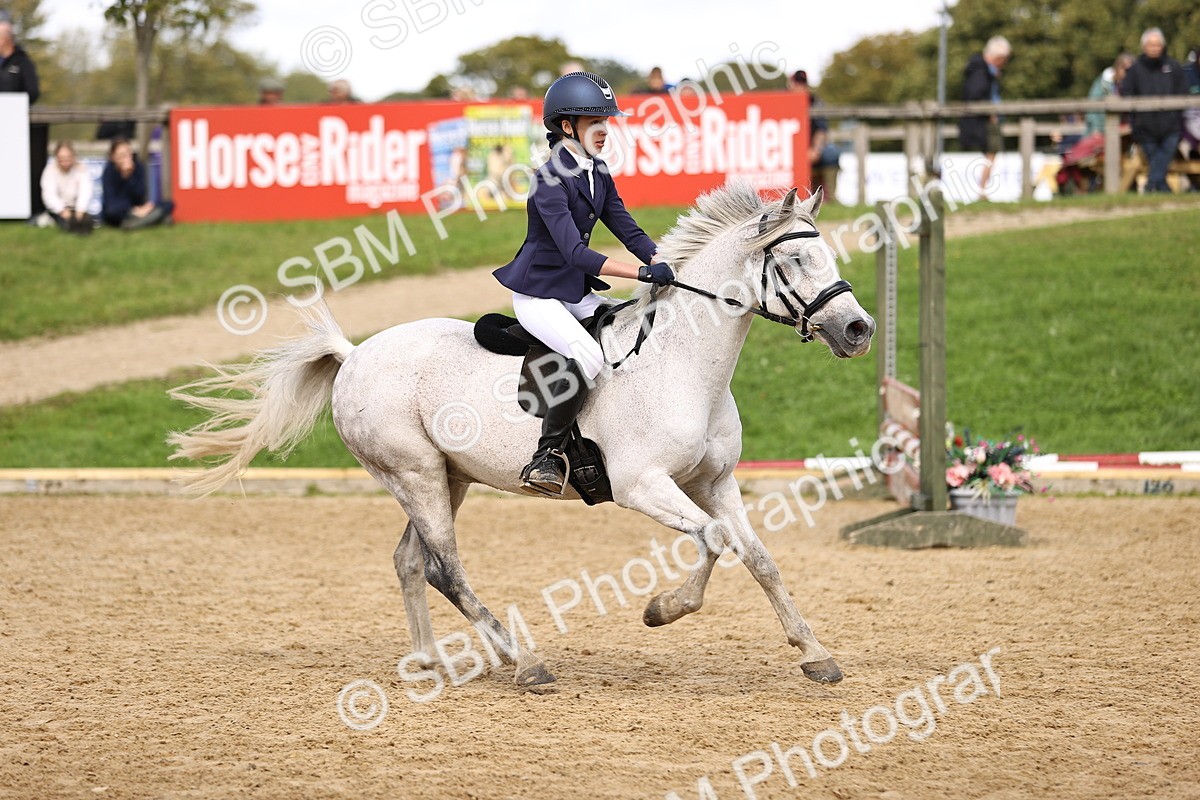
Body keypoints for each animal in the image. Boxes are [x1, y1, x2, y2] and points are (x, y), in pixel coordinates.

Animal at [167, 181, 875, 689]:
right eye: (793, 259)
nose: (858, 330)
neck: (681, 364)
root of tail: (355, 355)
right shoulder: (642, 485)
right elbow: (715, 541)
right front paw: (662, 609)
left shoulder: (715, 482)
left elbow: (758, 557)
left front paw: (814, 653)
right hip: (414, 474)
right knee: (445, 569)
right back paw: (523, 662)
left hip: (443, 477)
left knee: (410, 562)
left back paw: (429, 661)